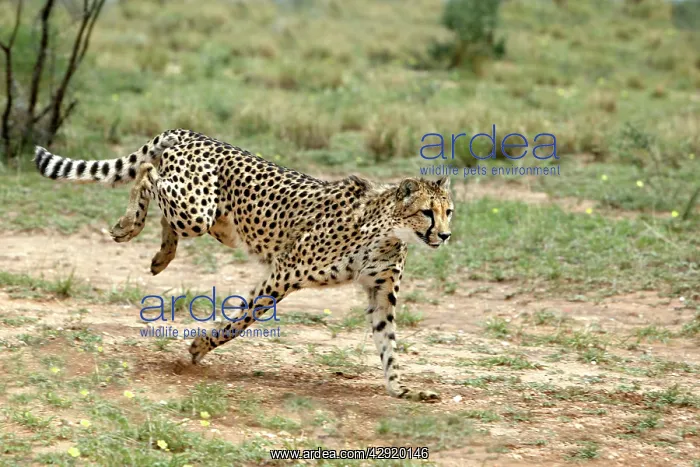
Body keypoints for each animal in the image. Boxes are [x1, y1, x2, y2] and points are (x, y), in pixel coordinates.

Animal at [34, 129, 454, 401]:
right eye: (426, 212)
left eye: (448, 211)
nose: (446, 235)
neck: (388, 232)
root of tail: (194, 134)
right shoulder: (284, 271)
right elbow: (242, 320)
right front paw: (201, 346)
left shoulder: (380, 293)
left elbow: (389, 344)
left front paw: (402, 389)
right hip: (197, 210)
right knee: (148, 173)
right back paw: (129, 224)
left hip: (215, 223)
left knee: (162, 204)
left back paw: (162, 254)